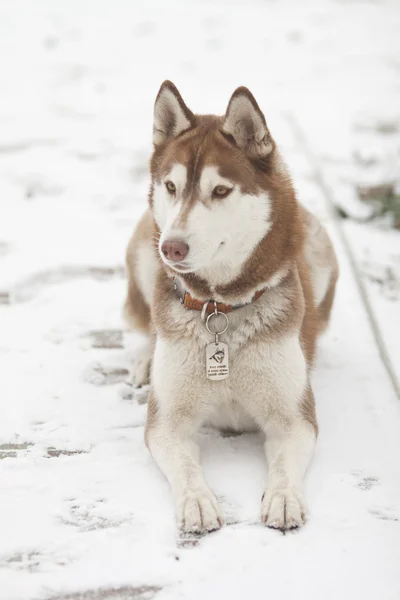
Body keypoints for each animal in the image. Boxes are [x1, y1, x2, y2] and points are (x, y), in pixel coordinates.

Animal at [122, 81, 338, 536]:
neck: (221, 306)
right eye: (171, 187)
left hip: (320, 246)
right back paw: (144, 357)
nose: (173, 248)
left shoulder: (294, 417)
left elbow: (284, 464)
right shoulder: (166, 421)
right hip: (144, 250)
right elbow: (186, 466)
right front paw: (198, 501)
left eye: (220, 191)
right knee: (142, 319)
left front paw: (283, 498)